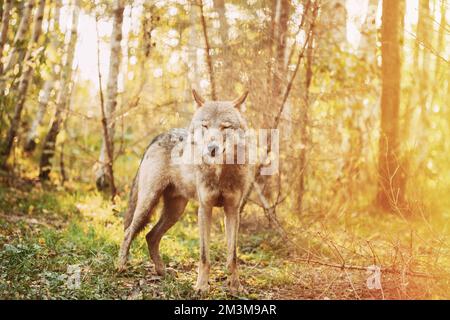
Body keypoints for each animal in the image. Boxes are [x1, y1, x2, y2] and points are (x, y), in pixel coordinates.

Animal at [118, 89, 253, 292]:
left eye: (225, 127)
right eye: (205, 126)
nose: (212, 149)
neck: (220, 172)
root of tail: (159, 136)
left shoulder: (232, 211)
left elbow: (233, 257)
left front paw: (236, 288)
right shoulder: (204, 209)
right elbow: (204, 256)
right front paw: (201, 287)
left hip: (175, 212)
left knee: (151, 236)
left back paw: (162, 272)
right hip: (148, 204)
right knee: (129, 232)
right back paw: (121, 266)